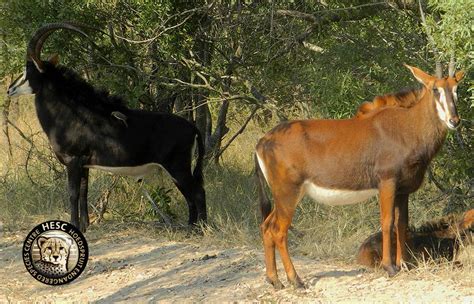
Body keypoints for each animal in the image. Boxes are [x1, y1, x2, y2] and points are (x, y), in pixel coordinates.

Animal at [7, 23, 206, 233]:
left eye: (28, 69)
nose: (9, 89)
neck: (70, 113)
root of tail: (193, 128)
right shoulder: (84, 163)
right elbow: (84, 192)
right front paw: (85, 225)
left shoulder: (73, 161)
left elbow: (73, 194)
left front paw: (75, 225)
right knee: (192, 196)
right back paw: (191, 227)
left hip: (177, 167)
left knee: (198, 193)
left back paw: (199, 228)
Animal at [256, 64, 462, 290]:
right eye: (435, 89)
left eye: (456, 89)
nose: (454, 121)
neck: (407, 126)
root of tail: (263, 141)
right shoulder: (387, 183)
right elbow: (387, 222)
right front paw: (390, 267)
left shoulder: (403, 190)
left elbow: (402, 224)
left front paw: (405, 265)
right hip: (288, 193)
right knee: (278, 231)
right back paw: (296, 280)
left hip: (285, 196)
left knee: (267, 227)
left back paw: (275, 280)